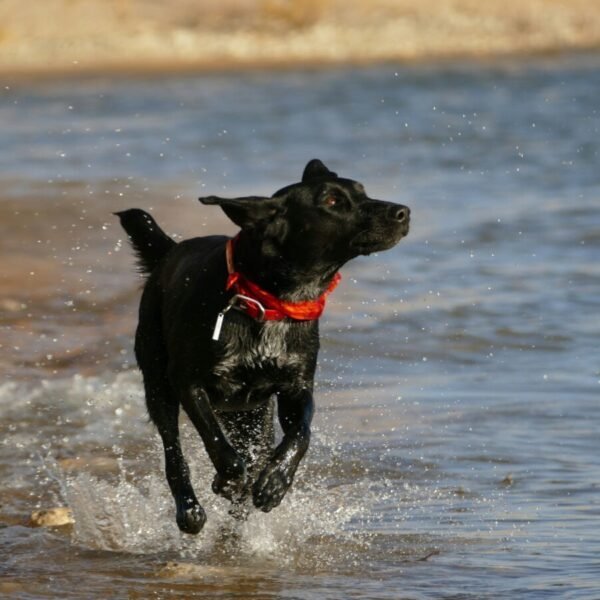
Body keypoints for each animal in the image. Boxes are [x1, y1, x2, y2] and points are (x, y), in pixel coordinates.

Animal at [115, 159, 410, 536]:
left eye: (362, 191)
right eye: (331, 201)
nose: (403, 212)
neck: (269, 301)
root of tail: (170, 251)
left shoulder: (295, 388)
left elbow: (301, 434)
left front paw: (274, 482)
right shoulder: (189, 382)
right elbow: (217, 443)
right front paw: (229, 479)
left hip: (252, 415)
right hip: (158, 383)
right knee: (173, 450)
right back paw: (190, 509)